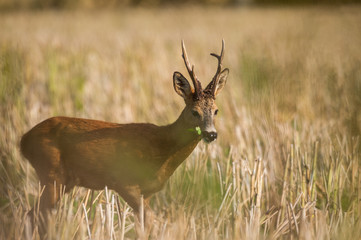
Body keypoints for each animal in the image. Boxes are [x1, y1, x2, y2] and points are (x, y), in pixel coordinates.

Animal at [19, 39, 228, 219]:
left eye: (216, 110)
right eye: (194, 111)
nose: (211, 134)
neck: (162, 147)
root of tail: (24, 140)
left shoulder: (148, 192)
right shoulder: (124, 181)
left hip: (62, 180)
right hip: (51, 172)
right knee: (32, 215)